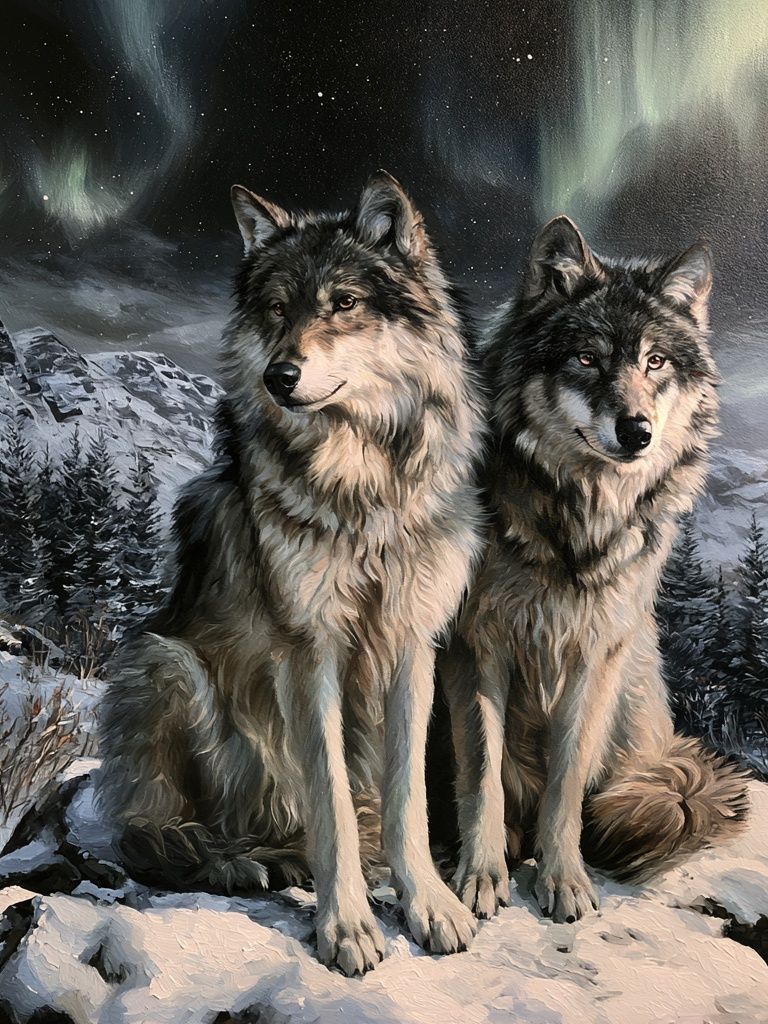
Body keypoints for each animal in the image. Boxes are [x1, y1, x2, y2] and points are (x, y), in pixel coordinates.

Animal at [98, 173, 485, 975]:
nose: (281, 376)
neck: (363, 489)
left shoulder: (413, 643)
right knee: (147, 836)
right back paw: (238, 862)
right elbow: (330, 796)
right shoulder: (309, 649)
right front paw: (348, 927)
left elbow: (407, 798)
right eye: (278, 309)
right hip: (165, 662)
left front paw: (428, 904)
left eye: (344, 303)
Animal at [440, 216, 749, 924]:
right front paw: (482, 875)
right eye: (587, 358)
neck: (573, 522)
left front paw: (563, 880)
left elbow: (569, 779)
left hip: (635, 684)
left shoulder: (598, 650)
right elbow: (483, 773)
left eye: (655, 361)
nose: (636, 430)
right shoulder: (476, 646)